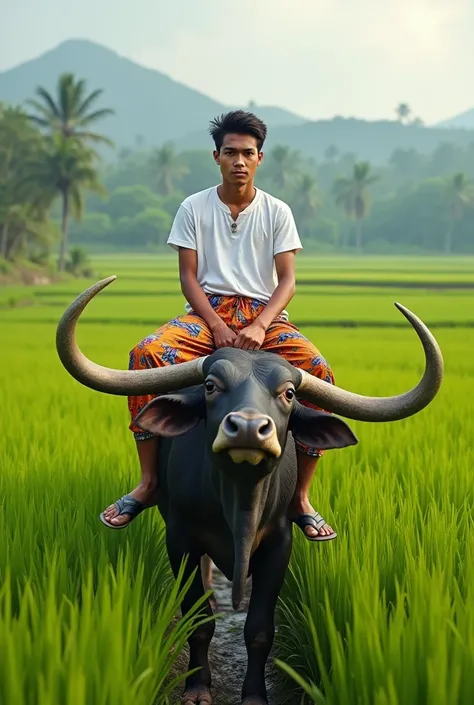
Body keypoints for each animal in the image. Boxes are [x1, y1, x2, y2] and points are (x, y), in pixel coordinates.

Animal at [56, 276, 444, 704]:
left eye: (289, 393)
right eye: (211, 385)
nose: (246, 428)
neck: (240, 501)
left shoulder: (278, 543)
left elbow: (259, 628)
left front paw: (255, 694)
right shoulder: (180, 538)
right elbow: (199, 619)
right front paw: (197, 688)